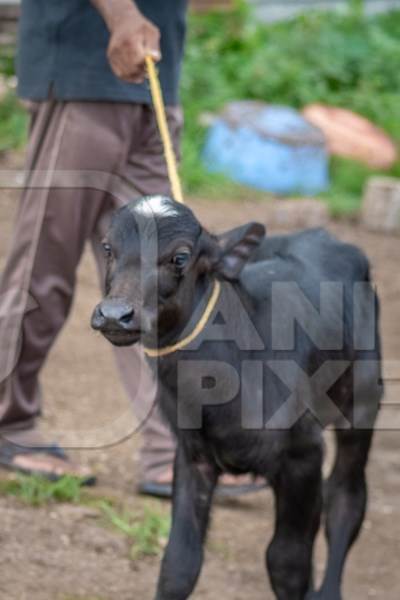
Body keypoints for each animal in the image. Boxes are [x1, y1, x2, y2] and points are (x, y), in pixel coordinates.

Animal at [92, 195, 382, 596]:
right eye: (108, 247)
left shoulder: (303, 455)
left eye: (180, 257)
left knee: (346, 500)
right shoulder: (193, 454)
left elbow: (287, 563)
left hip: (362, 406)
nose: (115, 314)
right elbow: (179, 562)